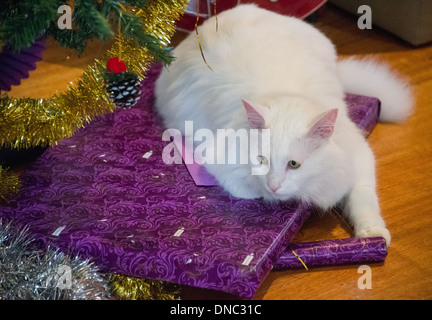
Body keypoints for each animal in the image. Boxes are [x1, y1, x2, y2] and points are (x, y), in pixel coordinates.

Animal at [154, 4, 412, 245]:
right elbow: (243, 188)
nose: (274, 186)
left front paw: (373, 234)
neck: (288, 92)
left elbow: (363, 200)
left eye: (294, 164)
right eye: (261, 159)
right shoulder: (215, 155)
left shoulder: (359, 157)